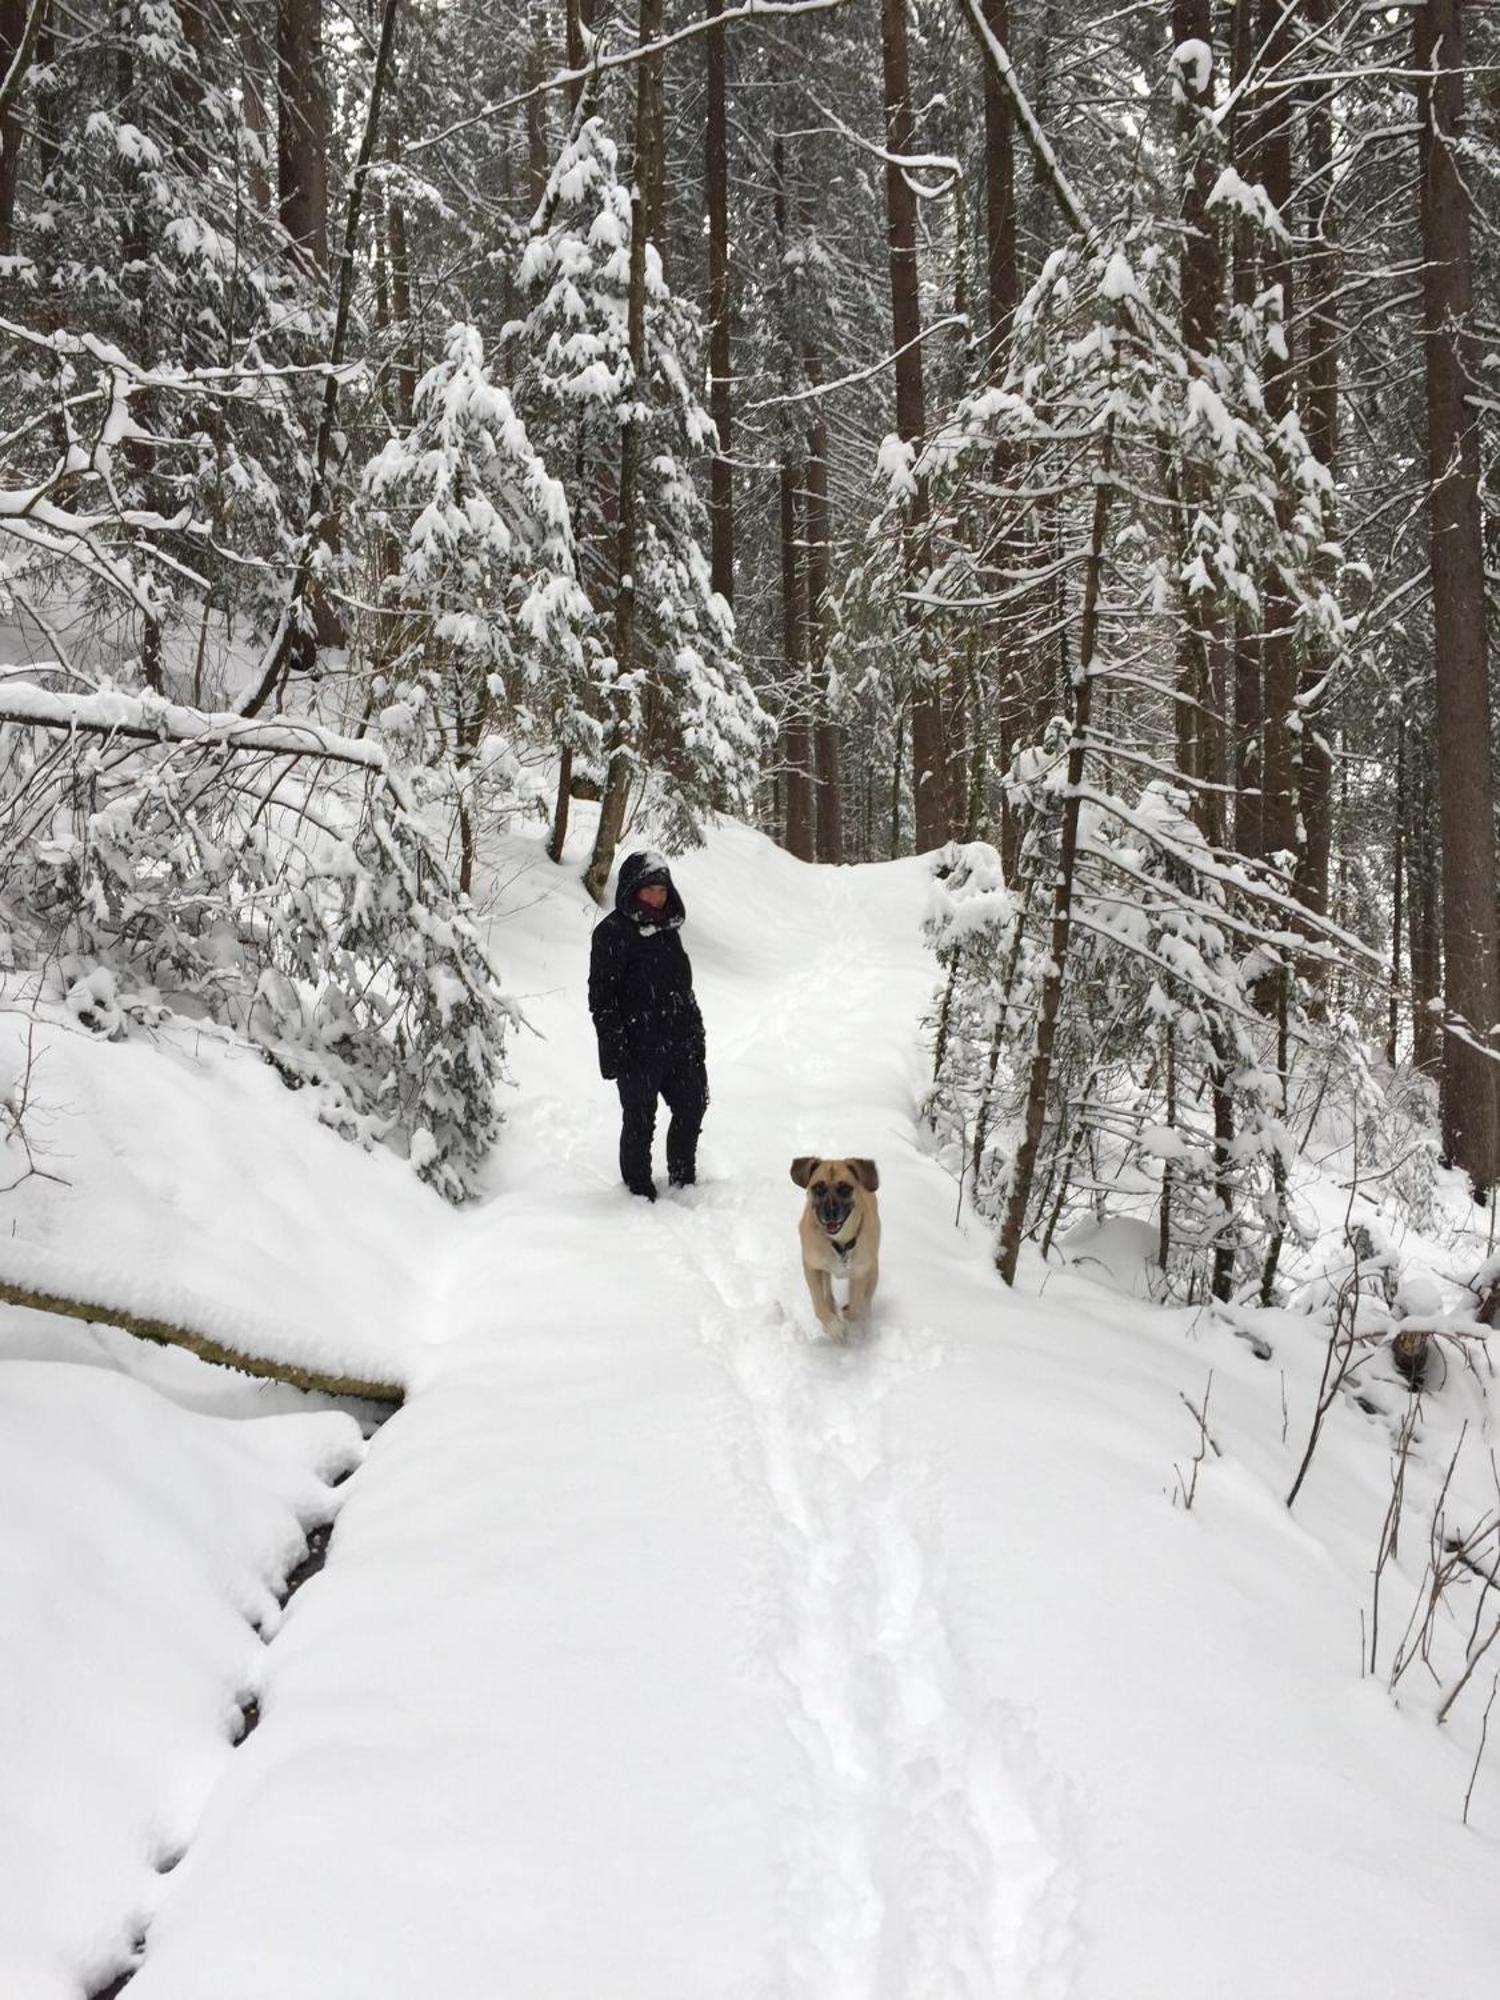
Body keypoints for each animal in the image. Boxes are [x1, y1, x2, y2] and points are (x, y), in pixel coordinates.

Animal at [788, 1160, 880, 1328]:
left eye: (845, 1188)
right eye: (818, 1187)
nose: (830, 1212)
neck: (840, 1243)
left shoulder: (860, 1273)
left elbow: (855, 1309)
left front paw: (851, 1324)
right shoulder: (812, 1267)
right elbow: (819, 1305)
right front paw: (835, 1327)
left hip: (873, 1270)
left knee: (866, 1300)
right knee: (828, 1292)